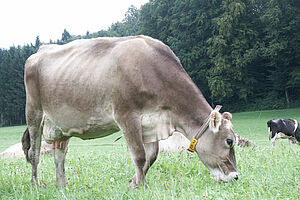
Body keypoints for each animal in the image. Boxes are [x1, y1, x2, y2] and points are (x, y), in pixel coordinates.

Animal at [21, 35, 239, 188]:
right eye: (229, 141)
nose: (235, 176)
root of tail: (41, 50)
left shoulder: (151, 123)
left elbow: (151, 156)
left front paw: (133, 183)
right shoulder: (127, 116)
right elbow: (139, 155)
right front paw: (141, 186)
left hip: (61, 124)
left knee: (59, 154)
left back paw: (62, 186)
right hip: (34, 113)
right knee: (34, 153)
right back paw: (35, 184)